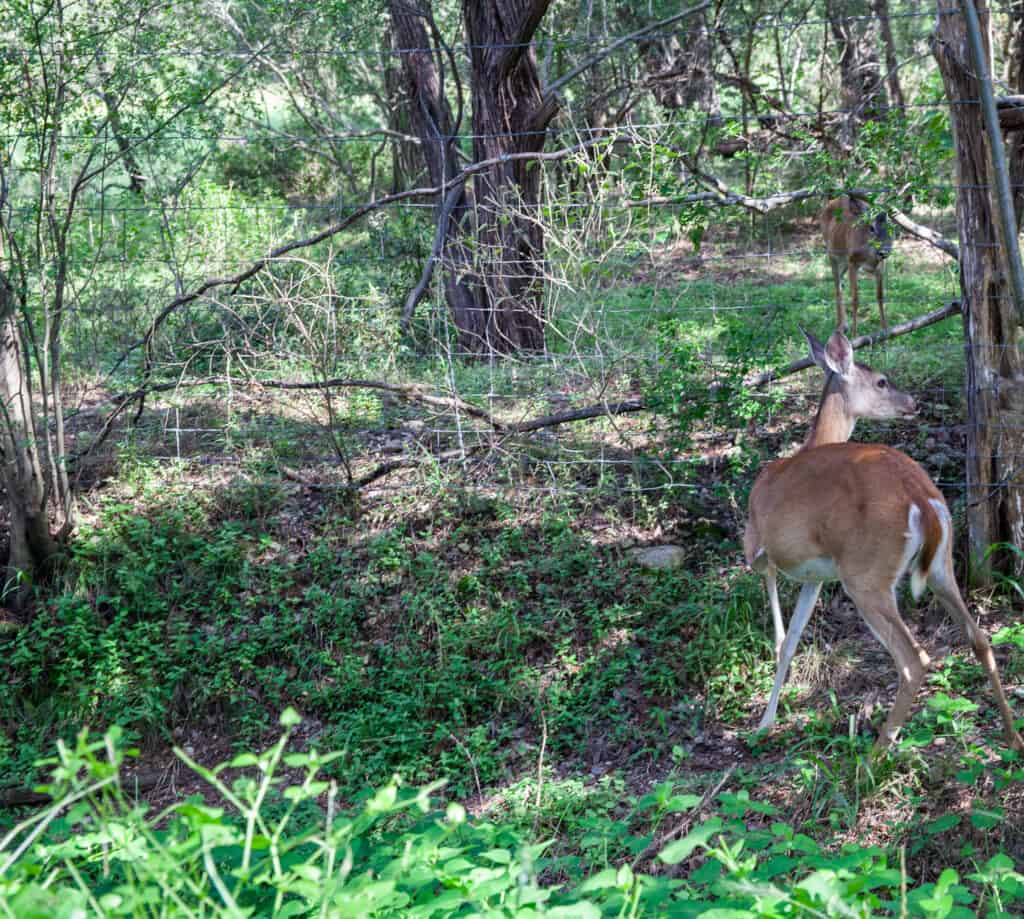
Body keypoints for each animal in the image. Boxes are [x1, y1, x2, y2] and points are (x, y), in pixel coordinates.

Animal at [745, 329, 1024, 754]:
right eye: (881, 382)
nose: (913, 403)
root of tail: (920, 497)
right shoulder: (815, 575)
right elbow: (792, 637)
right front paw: (769, 719)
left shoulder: (760, 552)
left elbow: (780, 639)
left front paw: (763, 722)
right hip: (941, 565)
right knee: (979, 637)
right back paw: (1013, 736)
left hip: (867, 574)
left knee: (913, 659)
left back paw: (875, 755)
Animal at [819, 195, 892, 336]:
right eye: (871, 228)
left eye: (891, 228)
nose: (884, 251)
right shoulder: (853, 263)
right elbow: (855, 299)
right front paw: (855, 335)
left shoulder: (879, 268)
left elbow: (880, 296)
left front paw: (885, 330)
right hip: (832, 254)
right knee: (837, 287)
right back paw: (840, 326)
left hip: (844, 261)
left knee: (841, 283)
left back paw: (844, 325)